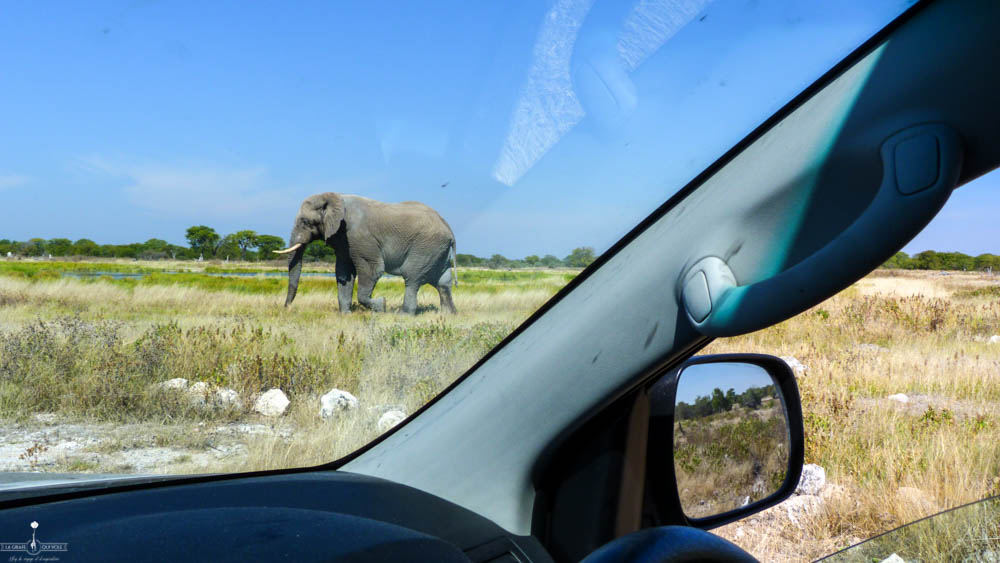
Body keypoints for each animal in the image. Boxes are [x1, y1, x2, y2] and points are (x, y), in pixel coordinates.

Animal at [276, 193, 458, 318]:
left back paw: (403, 315)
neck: (335, 198)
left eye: (305, 222)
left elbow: (372, 269)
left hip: (426, 246)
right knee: (443, 282)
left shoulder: (360, 236)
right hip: (437, 250)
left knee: (412, 278)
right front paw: (345, 315)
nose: (287, 308)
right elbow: (343, 272)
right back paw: (449, 314)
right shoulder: (343, 239)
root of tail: (448, 228)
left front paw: (381, 305)